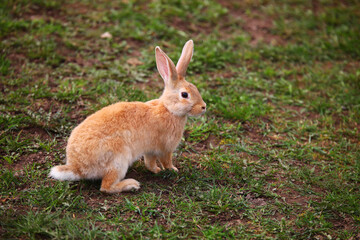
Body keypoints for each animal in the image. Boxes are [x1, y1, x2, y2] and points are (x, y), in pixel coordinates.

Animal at [48, 39, 205, 193]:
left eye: (196, 88)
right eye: (184, 94)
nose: (203, 107)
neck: (169, 109)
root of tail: (77, 167)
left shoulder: (150, 150)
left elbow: (149, 163)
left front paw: (156, 170)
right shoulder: (166, 148)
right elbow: (166, 161)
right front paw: (173, 170)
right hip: (118, 160)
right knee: (106, 187)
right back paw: (131, 184)